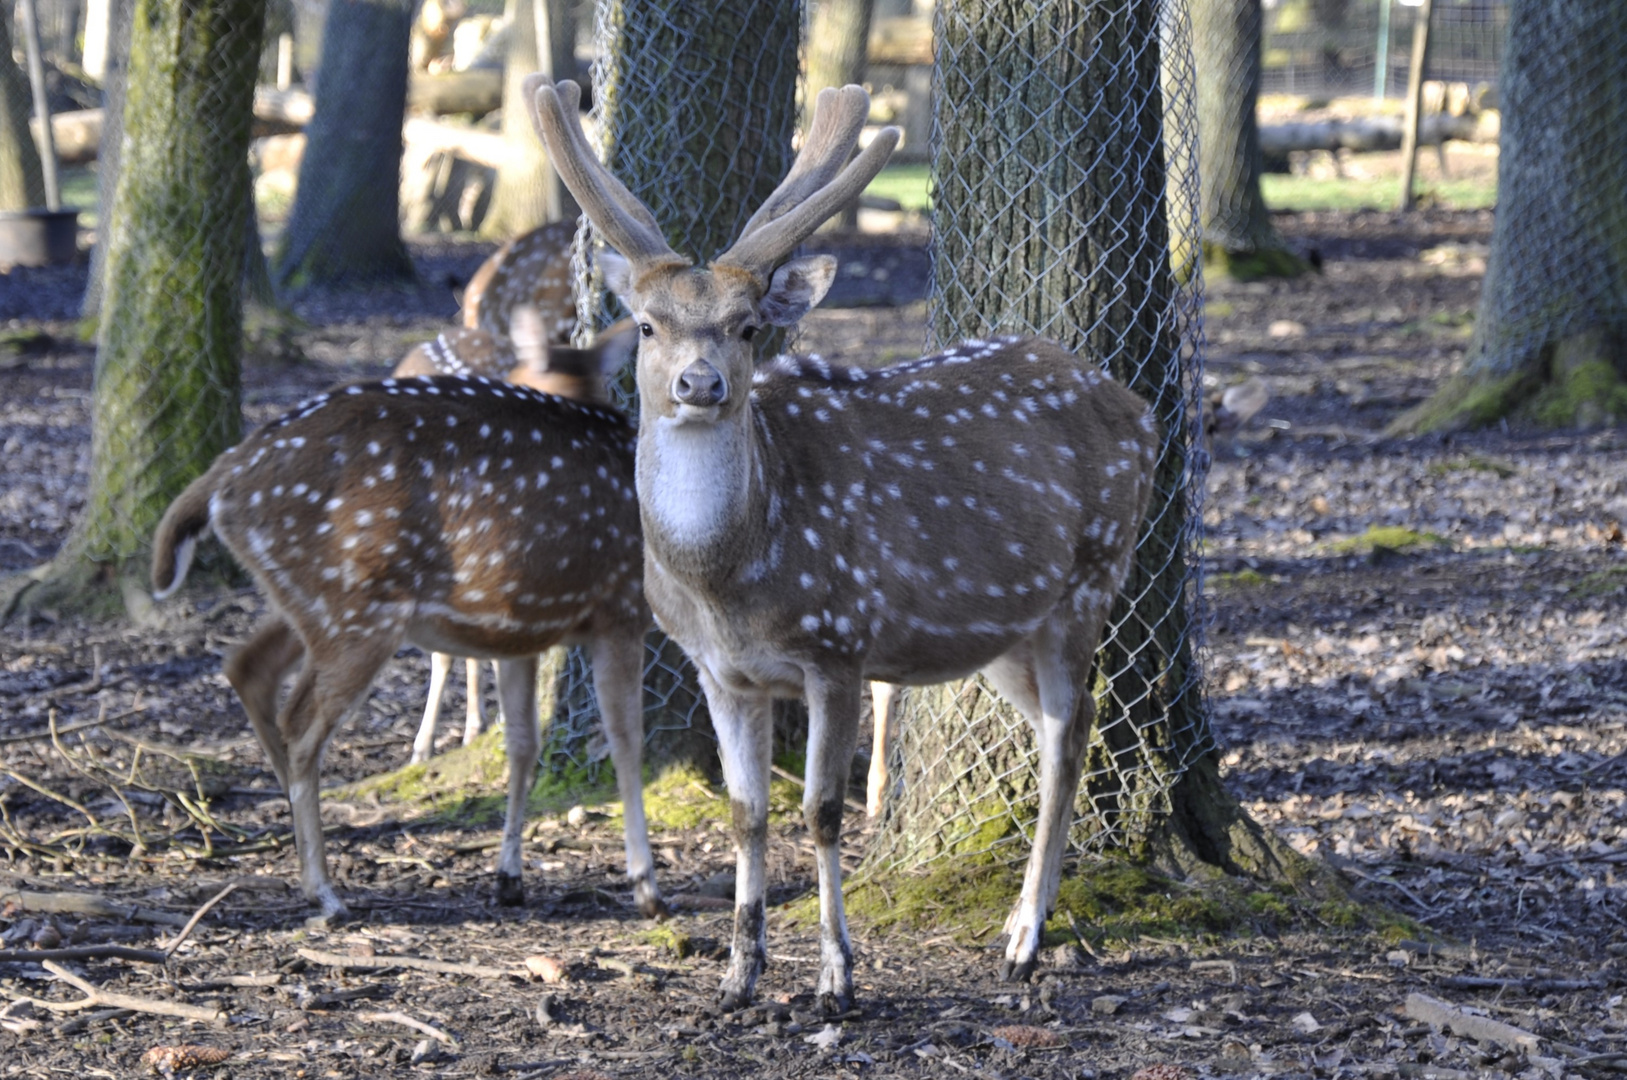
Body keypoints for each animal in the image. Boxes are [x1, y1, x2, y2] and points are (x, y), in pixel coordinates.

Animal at [523, 78, 1158, 1014]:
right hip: (1000, 631)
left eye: (748, 326)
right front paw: (738, 974)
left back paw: (1023, 939)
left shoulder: (840, 646)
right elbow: (746, 813)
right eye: (645, 325)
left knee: (1069, 730)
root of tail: (1138, 408)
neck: (727, 580)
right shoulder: (720, 670)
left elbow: (820, 811)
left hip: (1090, 575)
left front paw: (835, 976)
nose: (700, 384)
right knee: (1058, 719)